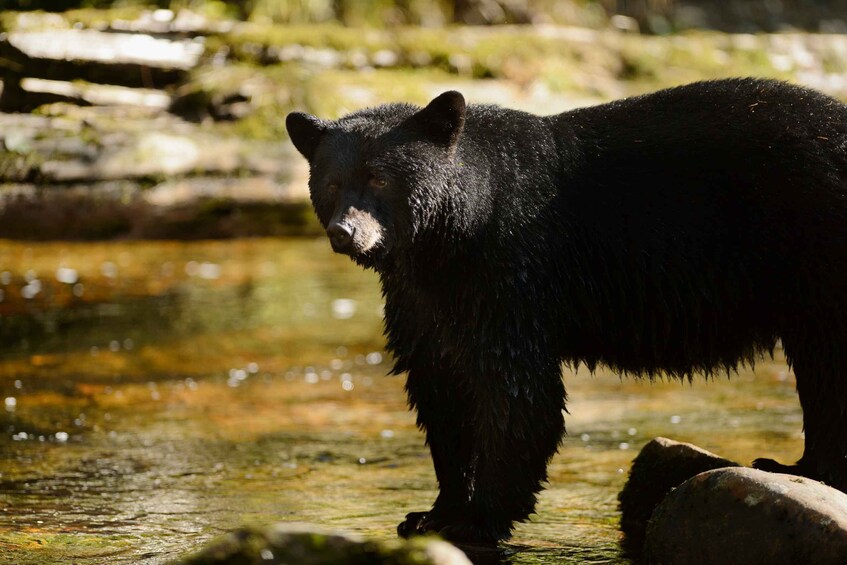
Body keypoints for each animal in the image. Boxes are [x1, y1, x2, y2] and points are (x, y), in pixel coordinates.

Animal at [286, 77, 847, 544]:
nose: (345, 233)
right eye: (331, 182)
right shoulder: (422, 299)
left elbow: (518, 392)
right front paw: (430, 513)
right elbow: (440, 387)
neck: (448, 239)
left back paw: (802, 467)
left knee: (827, 367)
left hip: (817, 246)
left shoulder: (511, 269)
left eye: (379, 178)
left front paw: (477, 518)